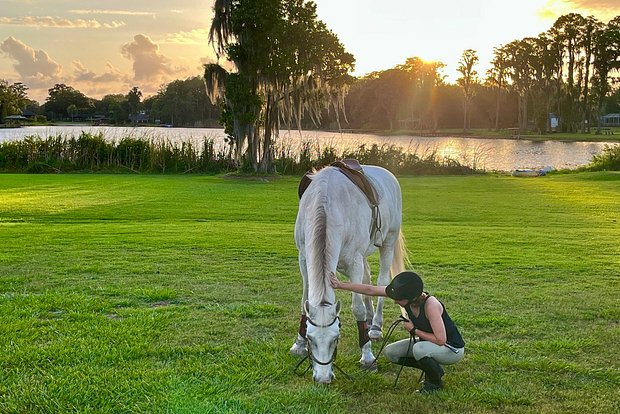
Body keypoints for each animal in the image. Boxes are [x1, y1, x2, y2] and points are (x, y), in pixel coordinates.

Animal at [290, 163, 406, 384]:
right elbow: (303, 301)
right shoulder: (304, 259)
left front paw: (367, 356)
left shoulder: (354, 262)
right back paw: (370, 320)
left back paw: (375, 327)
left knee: (381, 281)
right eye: (310, 338)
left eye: (336, 338)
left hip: (388, 241)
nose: (323, 378)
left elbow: (357, 308)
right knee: (367, 280)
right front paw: (298, 344)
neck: (327, 204)